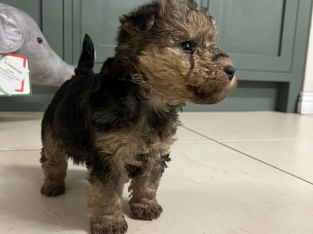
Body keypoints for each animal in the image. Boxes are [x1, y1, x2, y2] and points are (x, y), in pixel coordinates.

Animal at [40, 0, 236, 233]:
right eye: (187, 46)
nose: (231, 70)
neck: (148, 100)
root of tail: (78, 76)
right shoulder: (110, 155)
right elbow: (107, 192)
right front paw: (109, 222)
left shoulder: (156, 152)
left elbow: (148, 182)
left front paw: (145, 206)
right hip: (51, 132)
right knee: (53, 160)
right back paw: (52, 185)